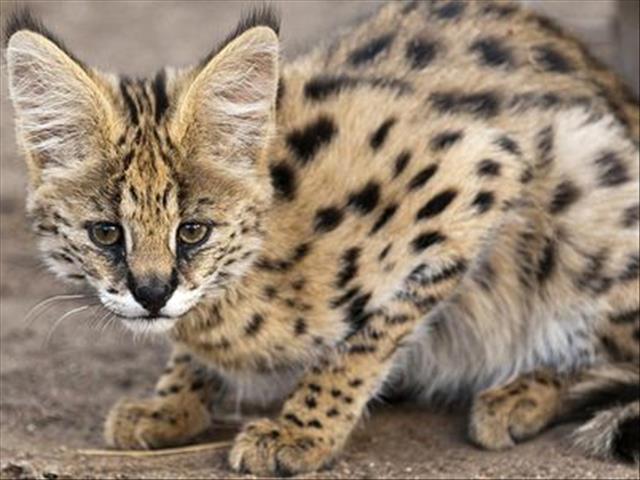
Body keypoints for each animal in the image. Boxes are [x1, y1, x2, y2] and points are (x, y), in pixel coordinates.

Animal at [4, 1, 639, 475]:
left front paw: (302, 430)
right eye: (106, 232)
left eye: (193, 231)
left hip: (589, 190)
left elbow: (368, 336)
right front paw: (171, 404)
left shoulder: (482, 169)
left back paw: (519, 393)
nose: (152, 294)